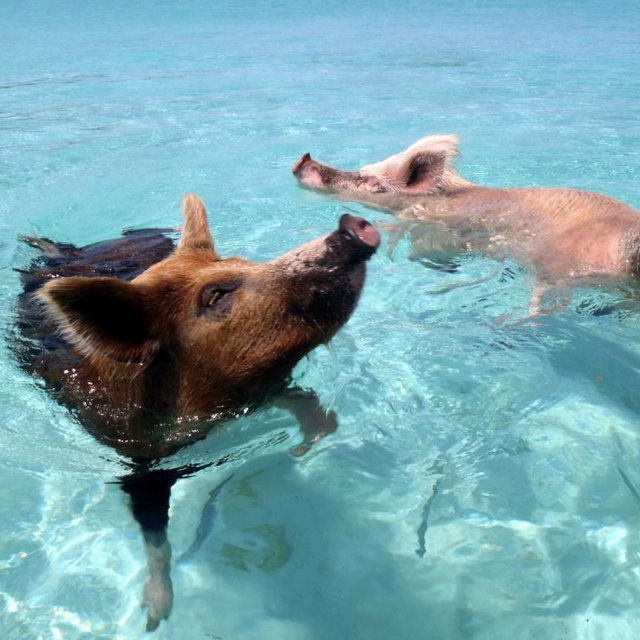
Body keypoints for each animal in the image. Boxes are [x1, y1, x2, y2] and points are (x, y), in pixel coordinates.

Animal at [13, 194, 379, 630]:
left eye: (243, 262)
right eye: (216, 296)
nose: (353, 225)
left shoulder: (262, 389)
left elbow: (304, 402)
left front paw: (305, 447)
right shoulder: (140, 464)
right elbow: (155, 535)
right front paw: (156, 617)